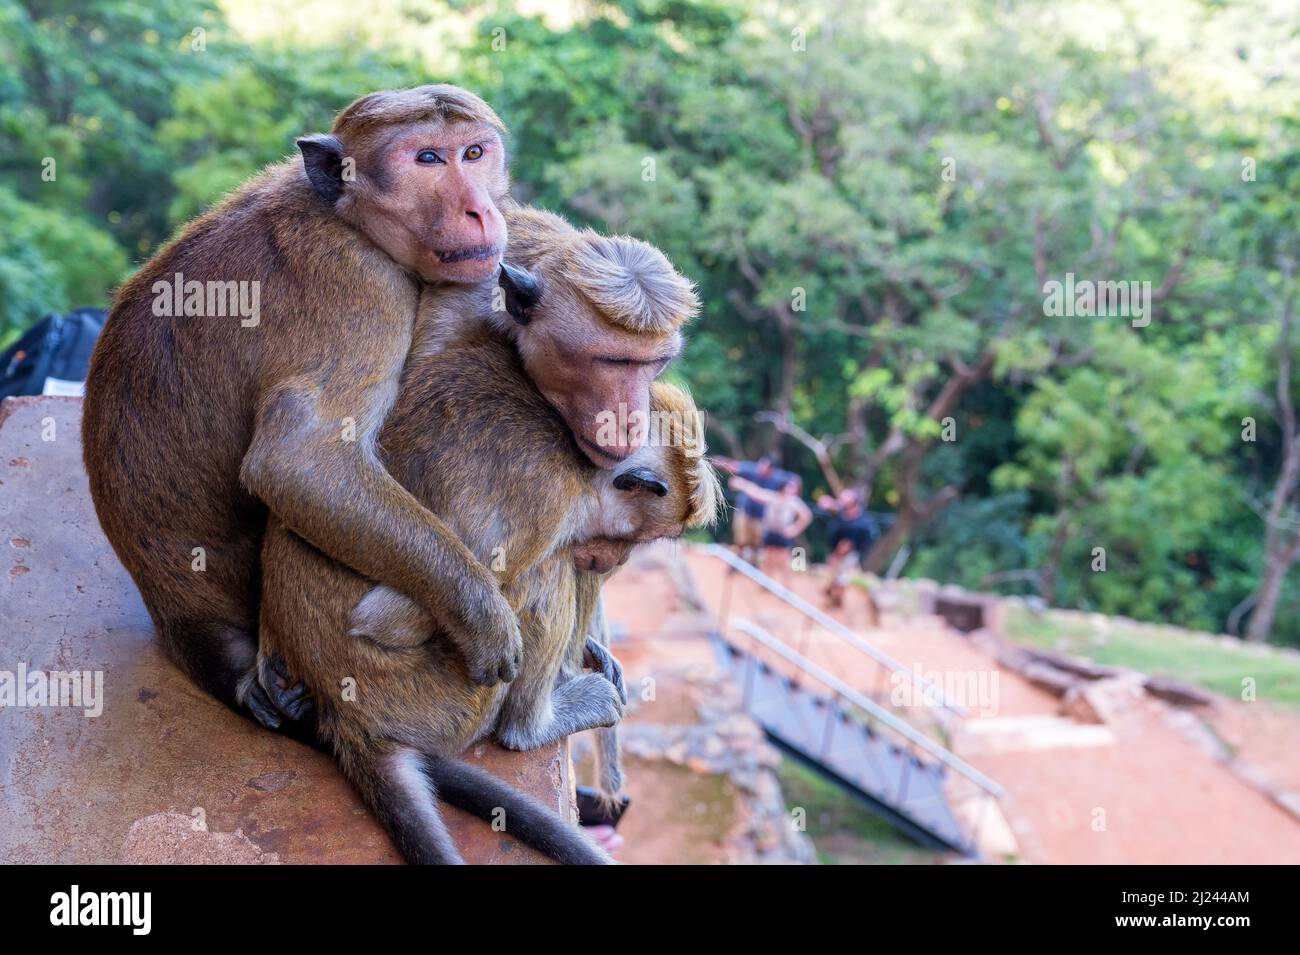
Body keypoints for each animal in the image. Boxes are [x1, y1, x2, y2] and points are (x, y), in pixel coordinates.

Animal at [80, 86, 569, 734]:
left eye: (473, 153)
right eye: (427, 160)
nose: (479, 210)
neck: (348, 219)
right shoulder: (361, 289)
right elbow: (298, 463)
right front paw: (481, 617)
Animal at [257, 255, 721, 862]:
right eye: (640, 540)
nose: (614, 562)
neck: (577, 461)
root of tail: (348, 717)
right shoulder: (543, 500)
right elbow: (390, 619)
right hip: (445, 703)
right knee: (542, 575)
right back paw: (535, 724)